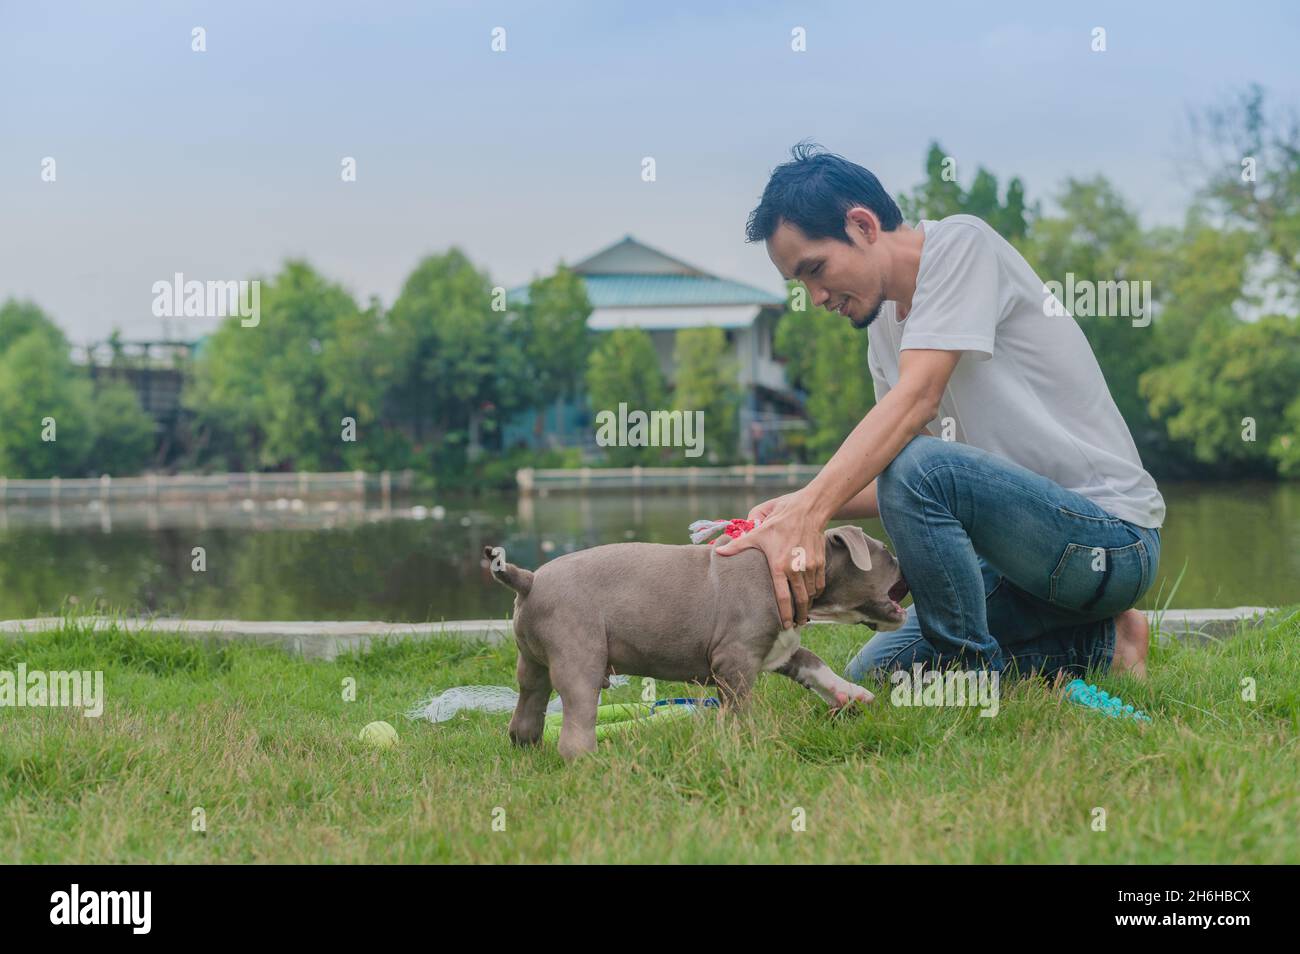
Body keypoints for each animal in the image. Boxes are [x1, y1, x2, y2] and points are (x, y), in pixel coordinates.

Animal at [483, 522, 909, 764]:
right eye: (887, 553)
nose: (907, 569)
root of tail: (529, 580)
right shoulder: (735, 659)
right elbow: (739, 710)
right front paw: (745, 744)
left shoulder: (778, 649)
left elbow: (815, 664)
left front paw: (850, 694)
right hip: (579, 660)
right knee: (575, 730)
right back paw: (595, 765)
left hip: (533, 663)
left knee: (527, 711)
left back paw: (529, 754)